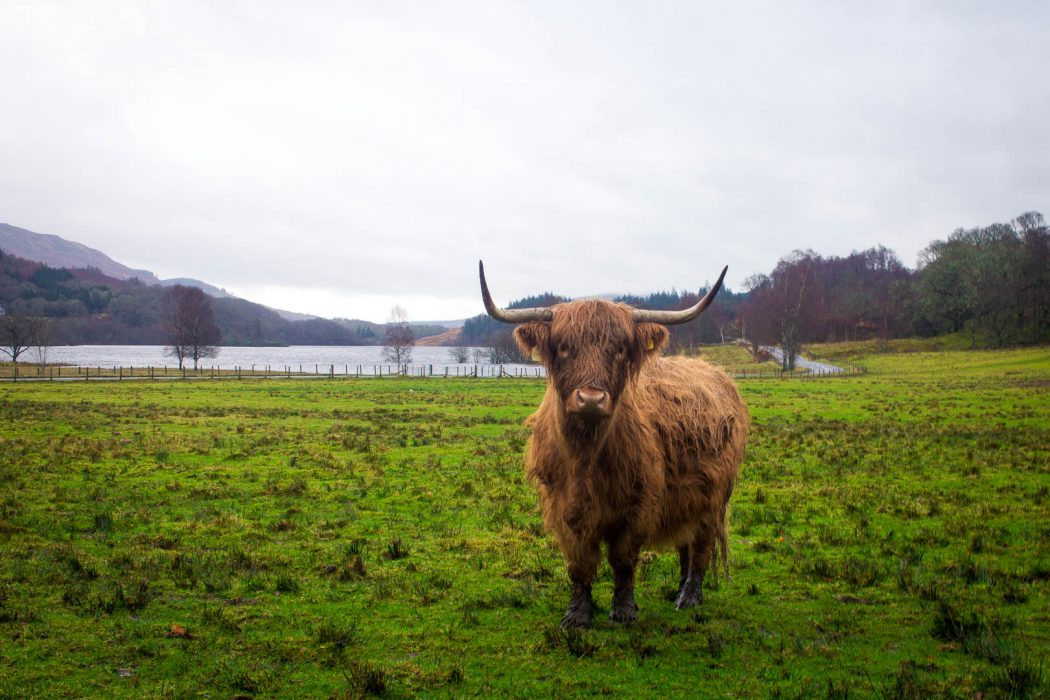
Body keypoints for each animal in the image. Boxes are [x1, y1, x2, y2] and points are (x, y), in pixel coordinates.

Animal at [479, 261, 749, 627]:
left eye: (619, 349)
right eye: (564, 347)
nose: (591, 399)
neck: (585, 455)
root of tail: (717, 374)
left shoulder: (638, 503)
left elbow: (623, 559)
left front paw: (623, 610)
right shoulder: (563, 504)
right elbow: (579, 561)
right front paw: (578, 613)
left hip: (715, 496)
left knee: (701, 544)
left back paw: (690, 596)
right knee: (685, 540)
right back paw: (679, 588)